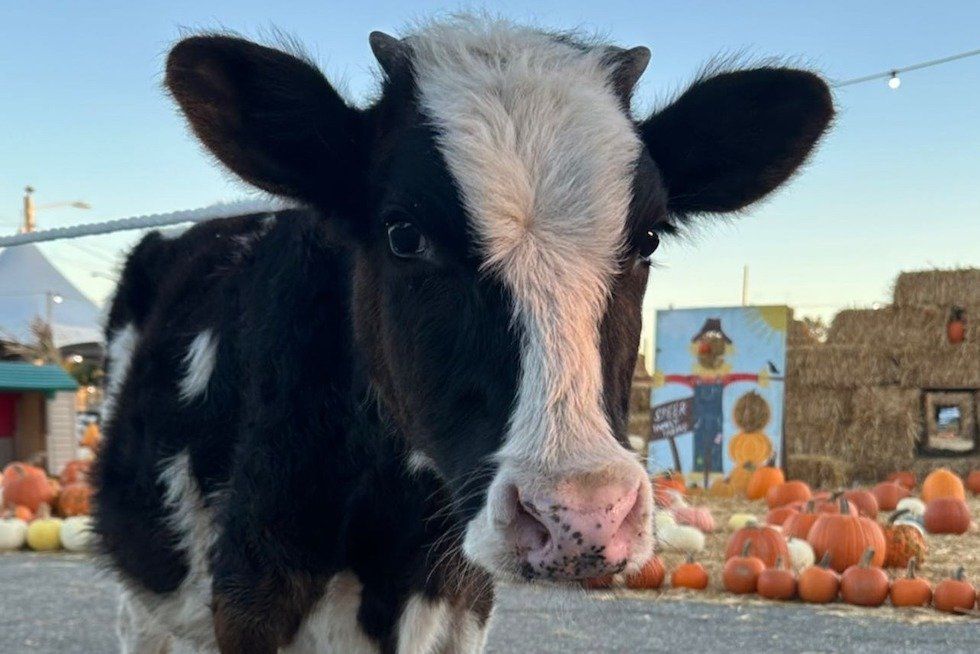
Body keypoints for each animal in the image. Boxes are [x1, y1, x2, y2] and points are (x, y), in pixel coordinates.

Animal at [93, 15, 833, 654]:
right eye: (403, 233)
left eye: (647, 238)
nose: (580, 516)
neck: (391, 548)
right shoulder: (248, 600)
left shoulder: (464, 606)